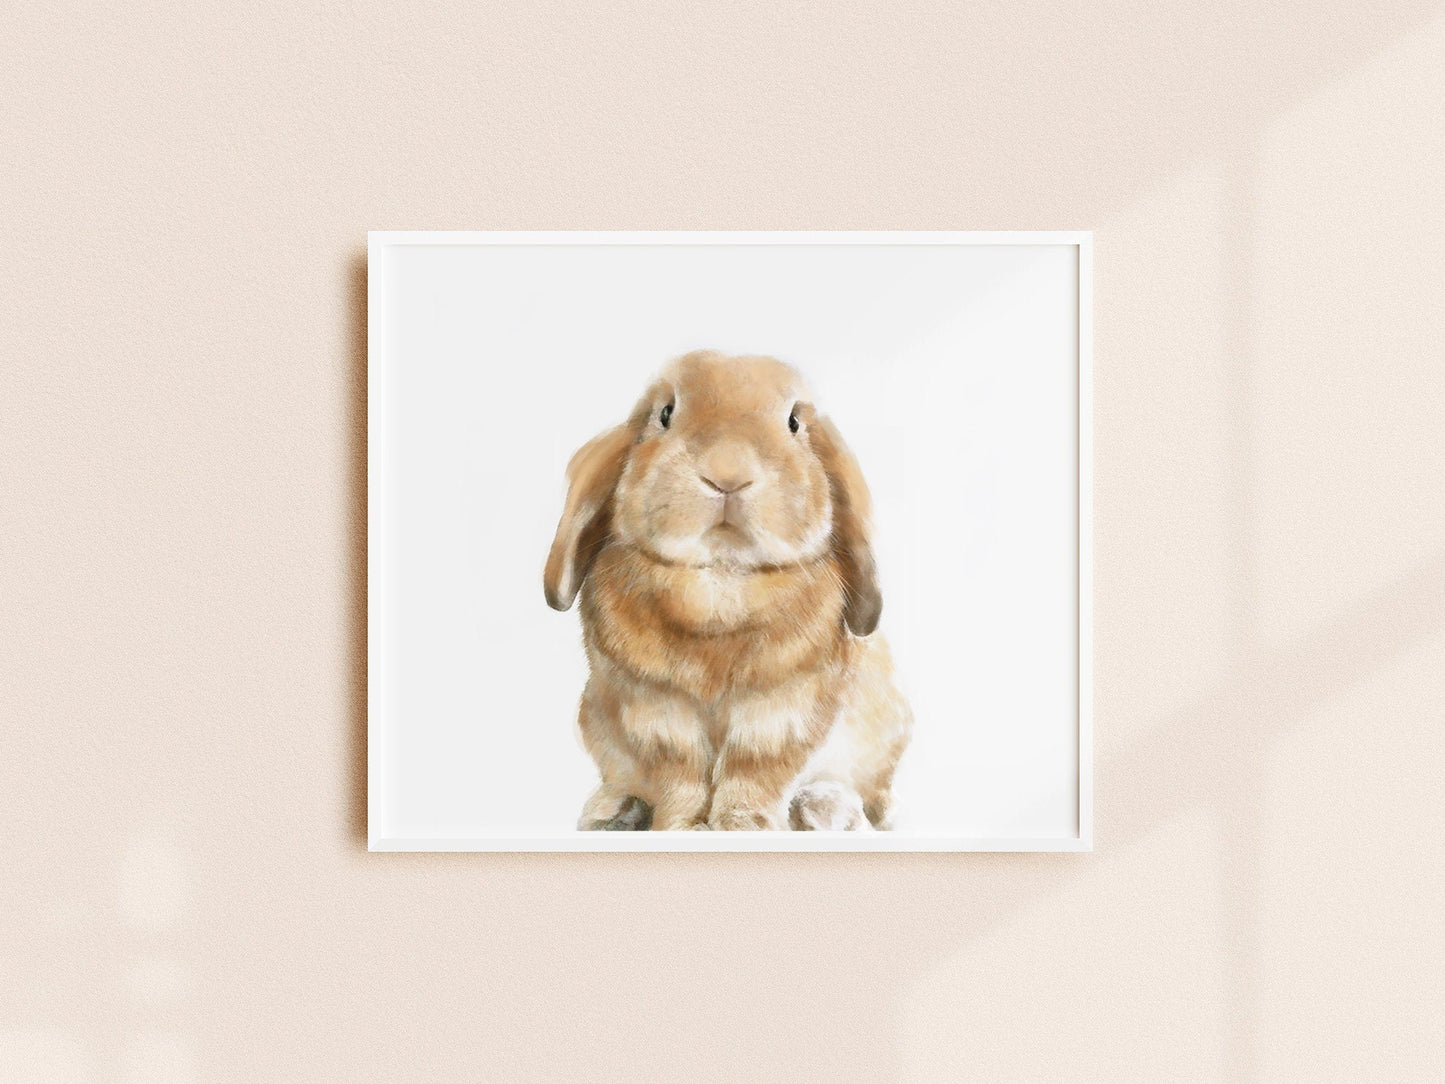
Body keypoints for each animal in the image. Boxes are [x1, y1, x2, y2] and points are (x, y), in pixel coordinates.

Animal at [544, 350, 912, 830]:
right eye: (665, 414)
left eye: (794, 422)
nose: (728, 474)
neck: (721, 578)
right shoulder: (655, 709)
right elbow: (680, 773)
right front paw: (680, 826)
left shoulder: (783, 709)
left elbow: (754, 771)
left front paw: (745, 825)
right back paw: (613, 811)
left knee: (870, 797)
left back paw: (825, 810)